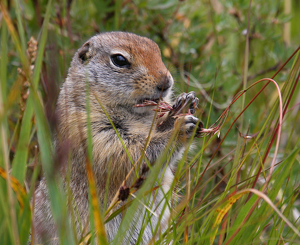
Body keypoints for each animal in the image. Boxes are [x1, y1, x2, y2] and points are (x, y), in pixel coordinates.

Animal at [33, 31, 202, 244]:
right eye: (119, 60)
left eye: (157, 50)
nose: (166, 82)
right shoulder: (89, 130)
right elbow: (131, 154)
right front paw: (180, 130)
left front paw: (183, 104)